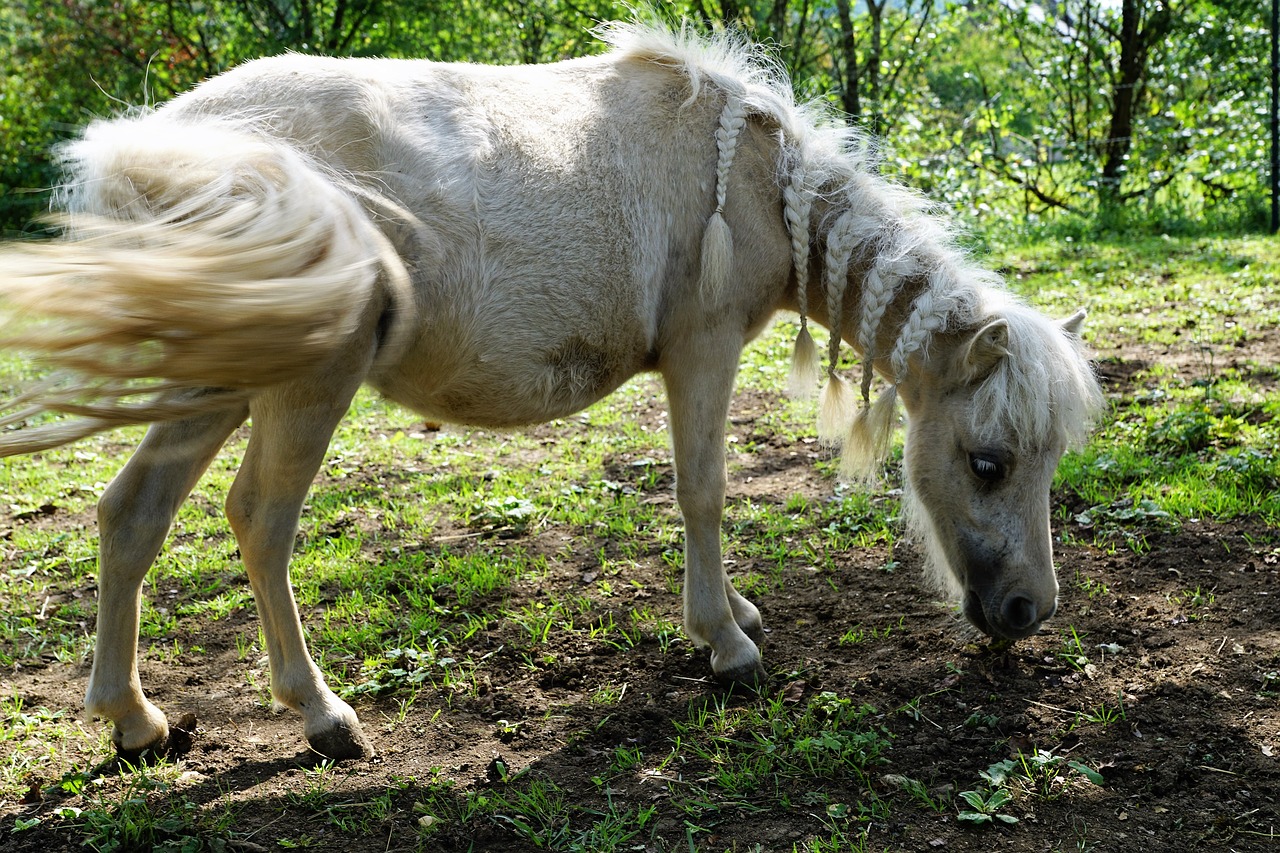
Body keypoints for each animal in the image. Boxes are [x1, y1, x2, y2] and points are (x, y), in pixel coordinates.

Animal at [0, 21, 1100, 758]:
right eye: (987, 461)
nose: (1028, 611)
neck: (753, 175)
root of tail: (135, 152)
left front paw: (738, 615)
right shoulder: (702, 353)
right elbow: (703, 491)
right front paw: (724, 643)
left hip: (218, 382)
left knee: (133, 514)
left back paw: (133, 719)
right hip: (301, 386)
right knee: (260, 521)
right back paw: (321, 714)